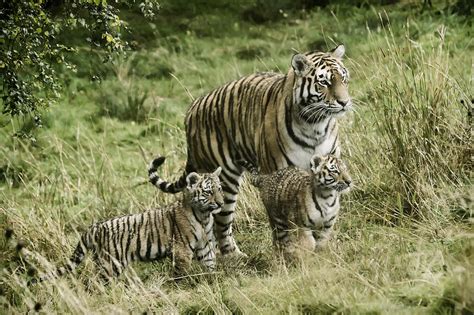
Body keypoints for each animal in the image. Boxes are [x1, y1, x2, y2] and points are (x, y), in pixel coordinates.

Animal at [152, 44, 352, 256]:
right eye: (324, 82)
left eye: (343, 78)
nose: (344, 102)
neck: (315, 125)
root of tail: (191, 109)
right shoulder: (277, 175)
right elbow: (281, 223)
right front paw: (285, 250)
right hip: (225, 181)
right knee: (220, 223)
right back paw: (233, 256)